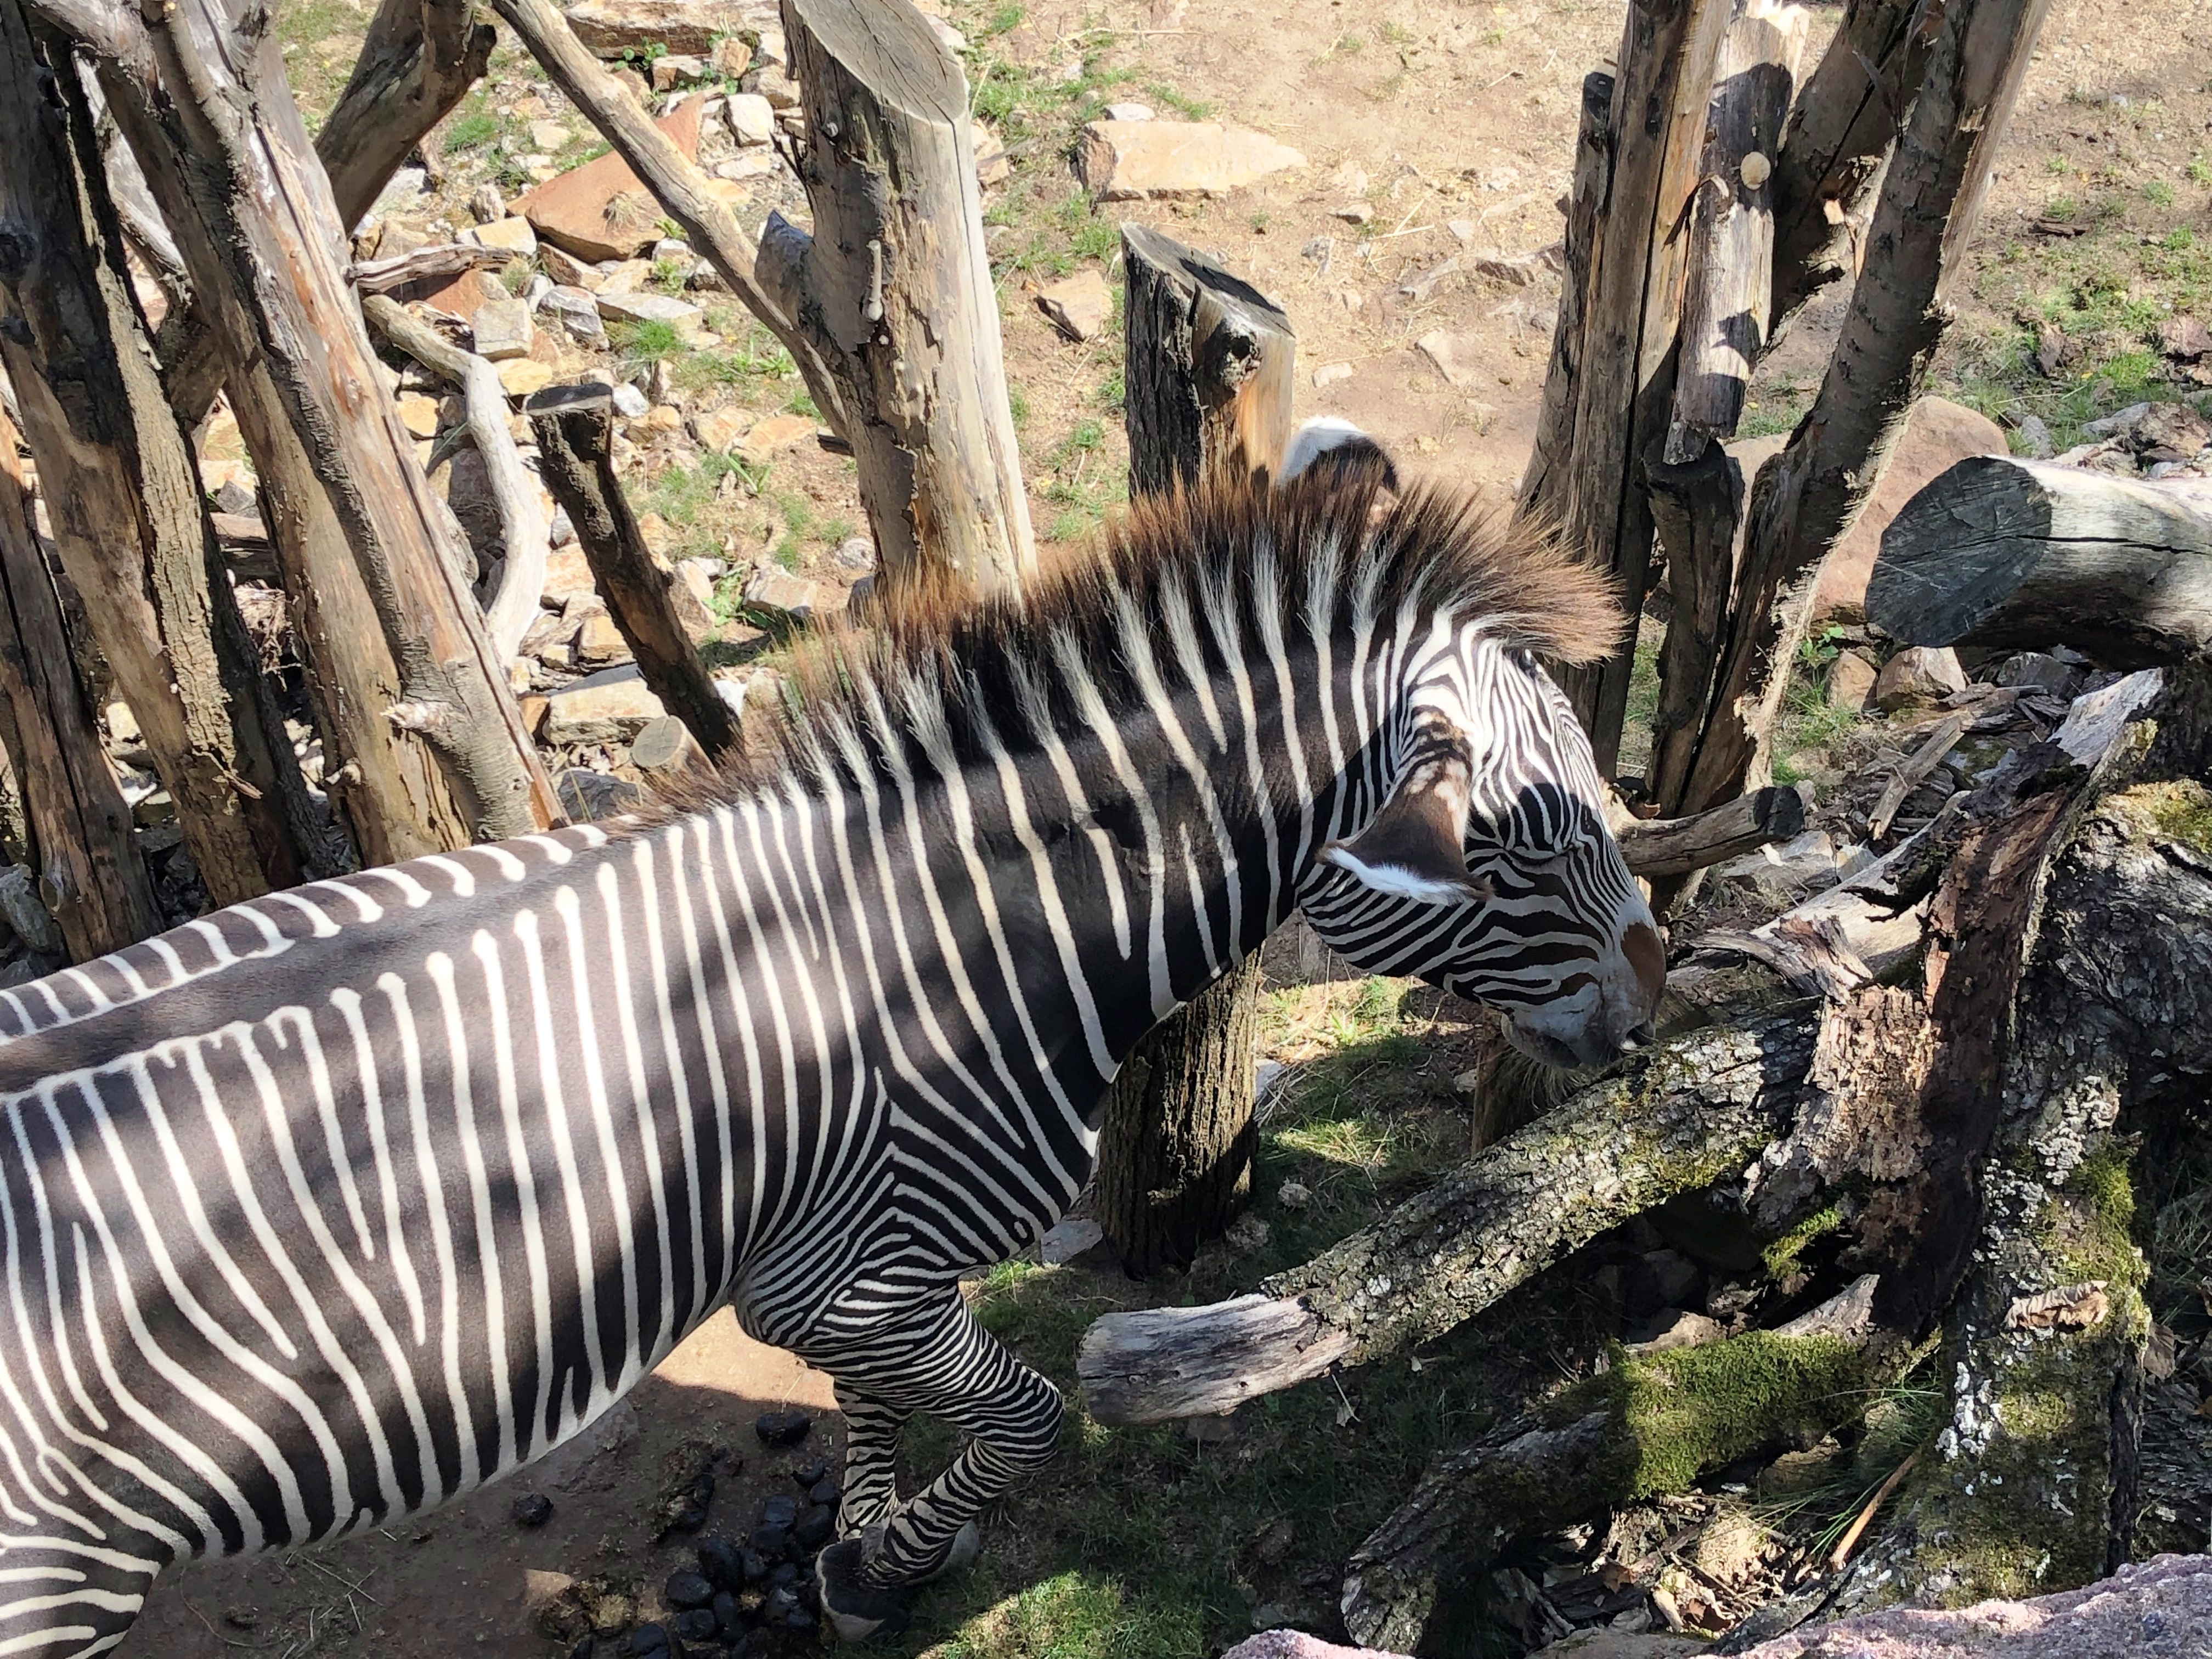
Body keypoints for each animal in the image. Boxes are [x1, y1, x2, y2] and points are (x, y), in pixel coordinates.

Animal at [0, 429, 1661, 1654]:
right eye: (1528, 844)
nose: (1654, 1014)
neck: (966, 936)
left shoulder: (868, 1265)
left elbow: (890, 1412)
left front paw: (865, 1550)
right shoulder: (838, 1281)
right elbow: (1033, 1418)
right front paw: (881, 1568)